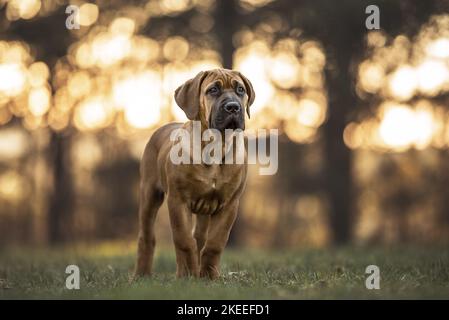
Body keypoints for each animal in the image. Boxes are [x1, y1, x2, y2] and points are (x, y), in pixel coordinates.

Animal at [133, 69, 254, 278]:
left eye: (240, 89)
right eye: (213, 90)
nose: (233, 107)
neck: (215, 146)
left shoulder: (229, 205)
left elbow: (214, 243)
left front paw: (209, 276)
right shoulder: (177, 201)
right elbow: (184, 240)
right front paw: (187, 275)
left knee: (200, 237)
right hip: (149, 194)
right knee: (147, 236)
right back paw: (142, 274)